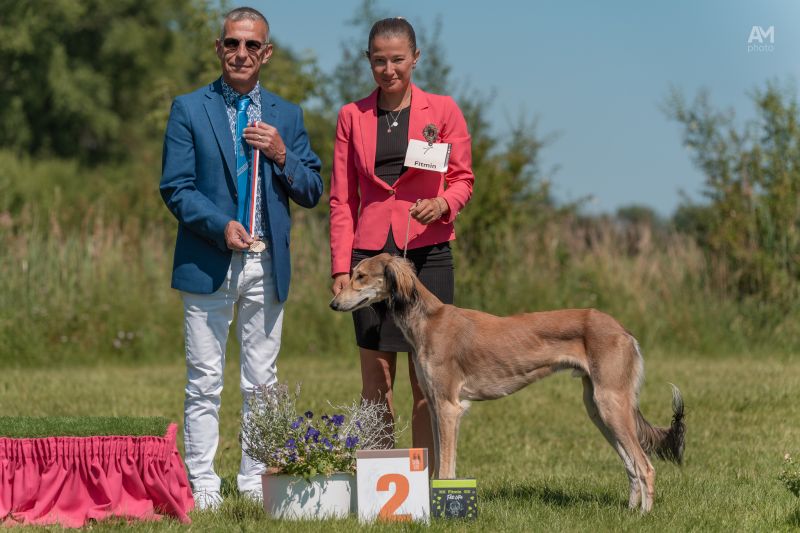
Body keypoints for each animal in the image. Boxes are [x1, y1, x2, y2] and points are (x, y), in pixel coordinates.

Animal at [330, 253, 685, 512]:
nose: (334, 304)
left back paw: (644, 515)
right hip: (598, 408)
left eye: (361, 276)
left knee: (646, 466)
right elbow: (440, 462)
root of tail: (623, 330)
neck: (428, 319)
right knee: (631, 466)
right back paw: (630, 510)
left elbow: (446, 467)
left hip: (611, 403)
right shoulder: (433, 406)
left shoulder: (449, 407)